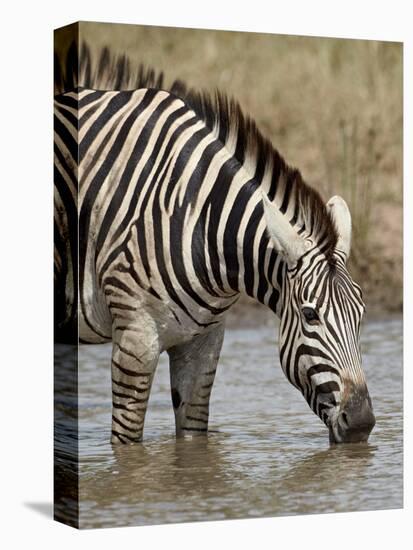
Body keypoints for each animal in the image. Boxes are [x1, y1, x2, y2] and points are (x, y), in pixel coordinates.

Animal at [53, 45, 374, 446]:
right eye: (311, 315)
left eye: (362, 313)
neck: (199, 220)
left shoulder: (204, 340)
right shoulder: (135, 339)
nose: (361, 424)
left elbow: (193, 439)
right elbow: (126, 446)